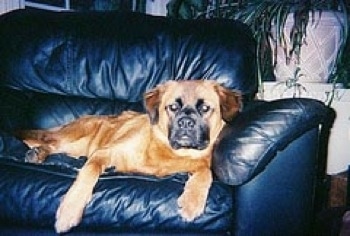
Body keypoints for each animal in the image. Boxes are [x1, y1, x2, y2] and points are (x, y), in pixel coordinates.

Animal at [15, 80, 241, 233]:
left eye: (205, 108)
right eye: (173, 107)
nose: (186, 123)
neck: (166, 151)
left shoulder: (196, 163)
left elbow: (205, 172)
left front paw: (192, 202)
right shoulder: (104, 153)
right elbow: (88, 173)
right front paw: (69, 211)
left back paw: (38, 154)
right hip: (75, 139)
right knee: (48, 141)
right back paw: (37, 152)